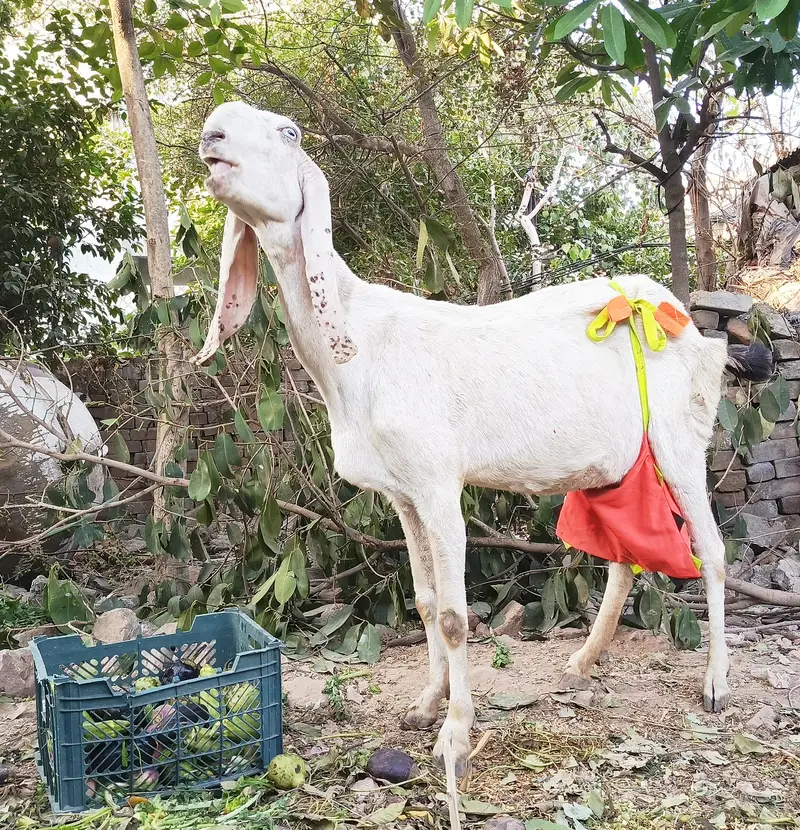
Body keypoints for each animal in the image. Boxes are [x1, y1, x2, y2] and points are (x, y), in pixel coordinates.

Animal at [193, 101, 771, 774]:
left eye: (288, 133)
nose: (213, 134)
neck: (359, 338)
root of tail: (685, 322)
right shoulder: (402, 493)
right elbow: (422, 600)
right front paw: (424, 703)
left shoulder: (438, 483)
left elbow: (451, 615)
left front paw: (456, 734)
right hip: (617, 464)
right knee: (625, 557)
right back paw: (582, 661)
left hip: (680, 440)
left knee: (712, 550)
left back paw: (716, 682)